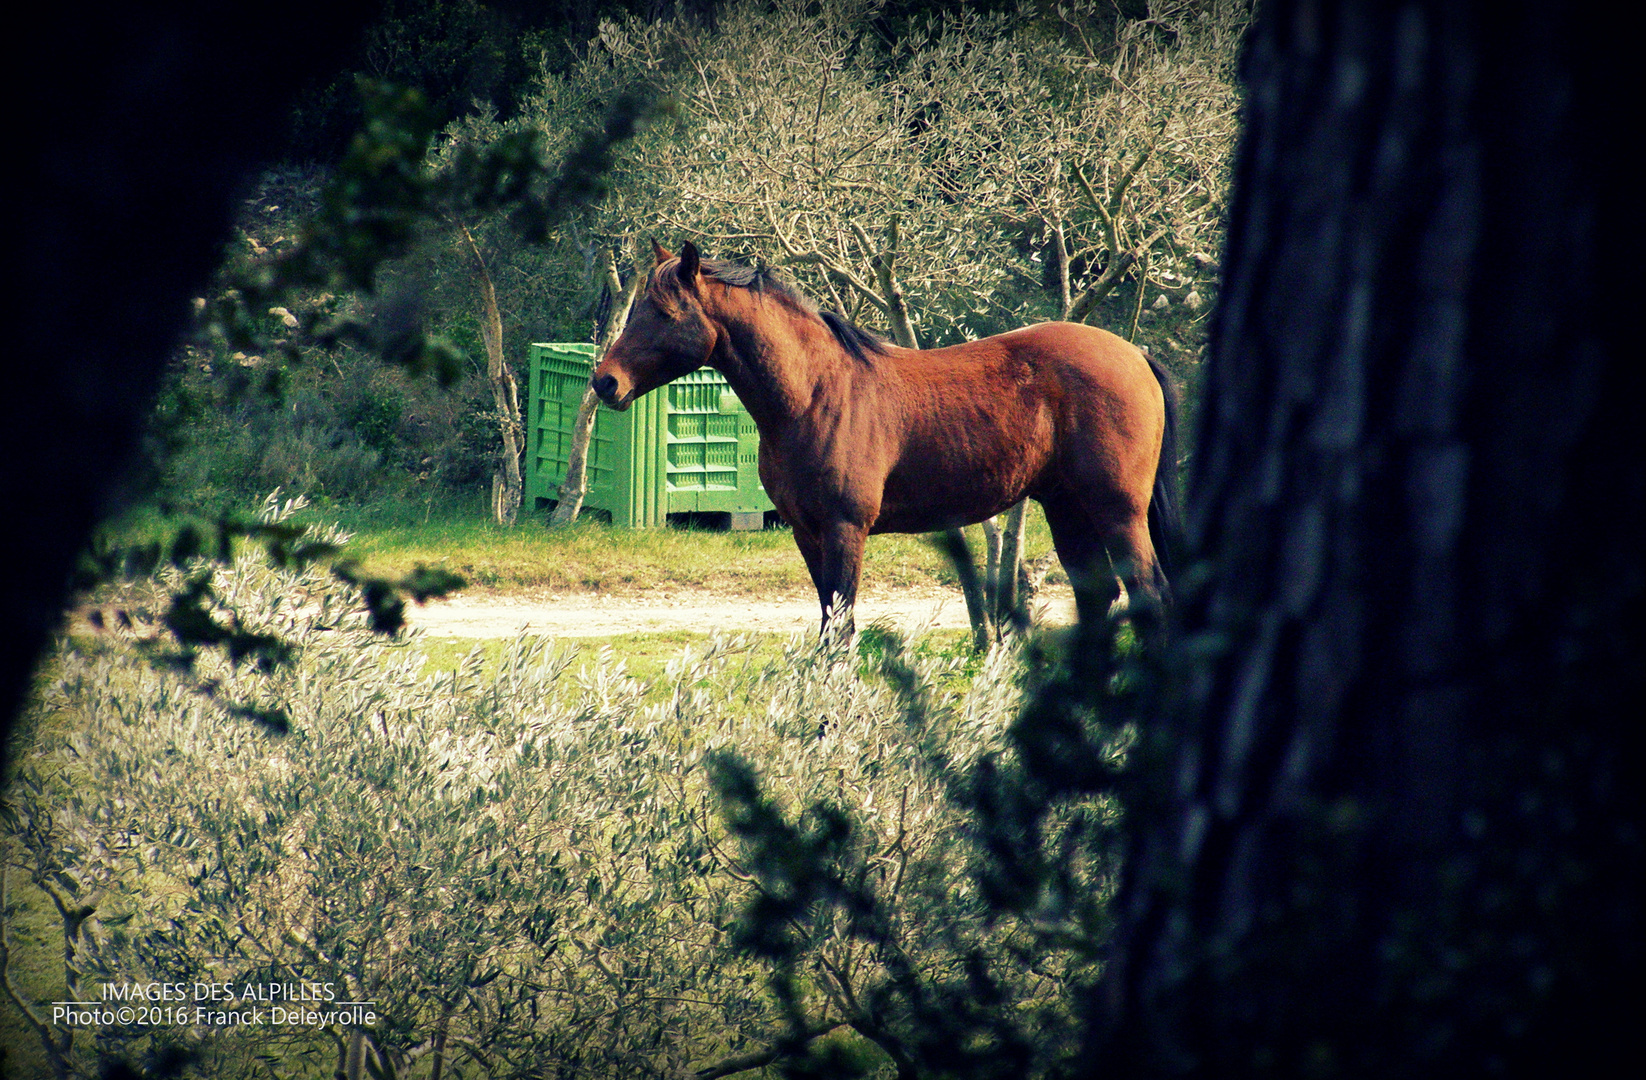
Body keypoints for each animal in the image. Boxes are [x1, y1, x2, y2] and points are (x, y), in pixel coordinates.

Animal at [595, 240, 1185, 632]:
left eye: (664, 312)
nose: (606, 381)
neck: (815, 392)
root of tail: (1136, 355)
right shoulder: (807, 534)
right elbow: (829, 624)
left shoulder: (844, 530)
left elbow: (840, 630)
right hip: (1068, 508)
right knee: (1099, 597)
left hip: (1117, 511)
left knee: (1150, 595)